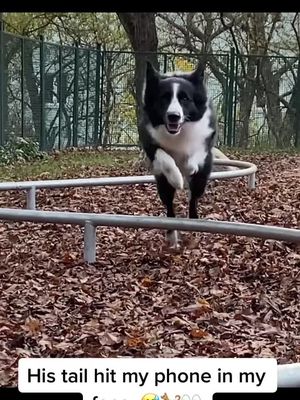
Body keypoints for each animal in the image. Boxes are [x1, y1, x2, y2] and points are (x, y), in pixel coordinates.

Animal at [139, 60, 217, 247]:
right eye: (164, 98)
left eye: (185, 99)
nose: (173, 116)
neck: (178, 132)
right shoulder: (148, 141)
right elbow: (164, 157)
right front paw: (176, 178)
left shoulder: (207, 137)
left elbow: (197, 152)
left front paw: (189, 167)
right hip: (162, 185)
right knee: (169, 206)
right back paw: (172, 234)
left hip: (200, 182)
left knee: (193, 200)